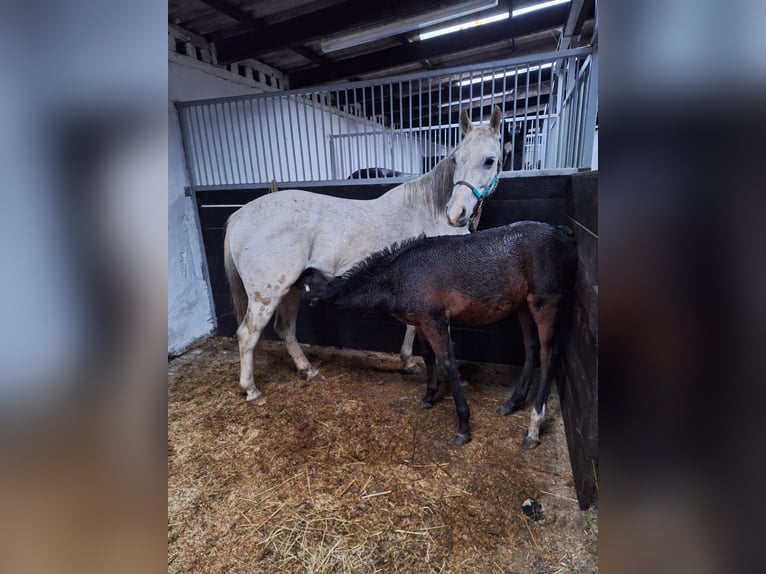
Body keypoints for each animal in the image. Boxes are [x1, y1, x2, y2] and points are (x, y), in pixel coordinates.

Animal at [224, 106, 504, 404]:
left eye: (489, 160)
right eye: (456, 159)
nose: (456, 213)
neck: (430, 211)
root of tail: (240, 215)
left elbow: (413, 327)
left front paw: (408, 362)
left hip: (290, 289)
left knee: (285, 329)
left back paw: (307, 370)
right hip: (267, 294)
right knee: (247, 334)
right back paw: (252, 391)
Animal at [301, 221, 576, 447]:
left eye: (304, 288)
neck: (399, 275)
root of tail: (561, 234)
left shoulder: (435, 320)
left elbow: (447, 365)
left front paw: (463, 426)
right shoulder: (422, 322)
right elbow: (427, 356)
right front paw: (428, 397)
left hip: (545, 302)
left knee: (549, 353)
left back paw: (533, 427)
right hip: (522, 305)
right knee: (531, 347)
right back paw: (513, 402)